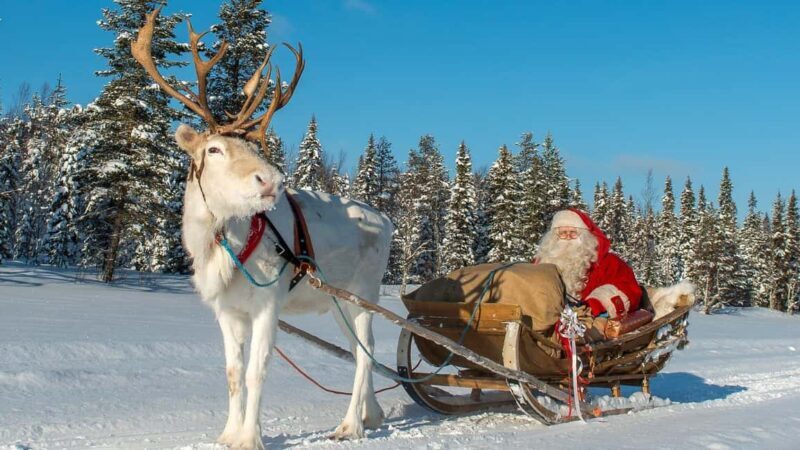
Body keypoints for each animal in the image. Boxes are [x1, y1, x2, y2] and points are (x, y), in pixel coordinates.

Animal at [132, 9, 393, 449]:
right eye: (214, 149)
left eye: (256, 147)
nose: (272, 180)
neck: (218, 246)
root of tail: (388, 221)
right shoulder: (227, 311)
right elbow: (233, 374)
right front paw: (227, 433)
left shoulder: (268, 305)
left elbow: (257, 372)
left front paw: (250, 437)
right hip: (338, 303)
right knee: (362, 351)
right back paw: (371, 414)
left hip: (363, 294)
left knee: (367, 350)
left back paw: (350, 425)